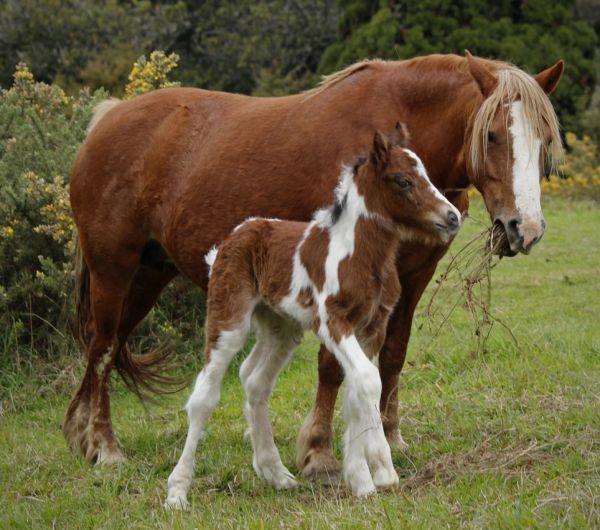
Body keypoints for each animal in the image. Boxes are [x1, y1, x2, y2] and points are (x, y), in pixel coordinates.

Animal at [64, 52, 564, 466]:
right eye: (492, 135)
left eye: (543, 140)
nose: (525, 228)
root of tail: (107, 119)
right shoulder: (332, 282)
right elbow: (331, 365)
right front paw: (320, 451)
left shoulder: (412, 276)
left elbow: (393, 355)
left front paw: (390, 437)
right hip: (114, 269)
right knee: (103, 345)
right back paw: (105, 447)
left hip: (149, 274)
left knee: (103, 343)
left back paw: (82, 434)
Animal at [166, 126, 462, 506]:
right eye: (403, 180)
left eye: (425, 174)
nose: (452, 217)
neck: (360, 255)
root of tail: (231, 239)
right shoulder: (332, 320)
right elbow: (368, 380)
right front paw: (382, 469)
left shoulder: (372, 327)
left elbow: (357, 389)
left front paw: (360, 479)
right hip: (228, 319)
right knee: (204, 396)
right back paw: (177, 492)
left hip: (280, 327)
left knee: (255, 380)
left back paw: (275, 473)